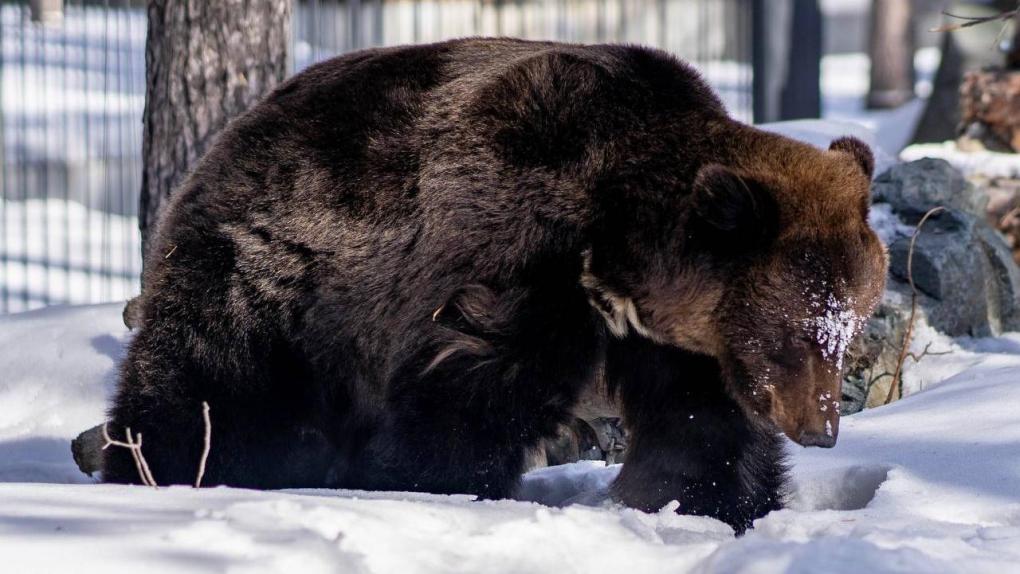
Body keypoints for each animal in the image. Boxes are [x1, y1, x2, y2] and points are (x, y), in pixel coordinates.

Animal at [103, 39, 885, 534]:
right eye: (795, 332)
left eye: (848, 330)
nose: (821, 429)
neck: (612, 246)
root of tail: (230, 134)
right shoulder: (511, 259)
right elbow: (466, 398)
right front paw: (433, 487)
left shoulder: (672, 340)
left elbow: (703, 429)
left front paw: (709, 504)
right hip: (278, 278)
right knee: (207, 381)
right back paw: (153, 466)